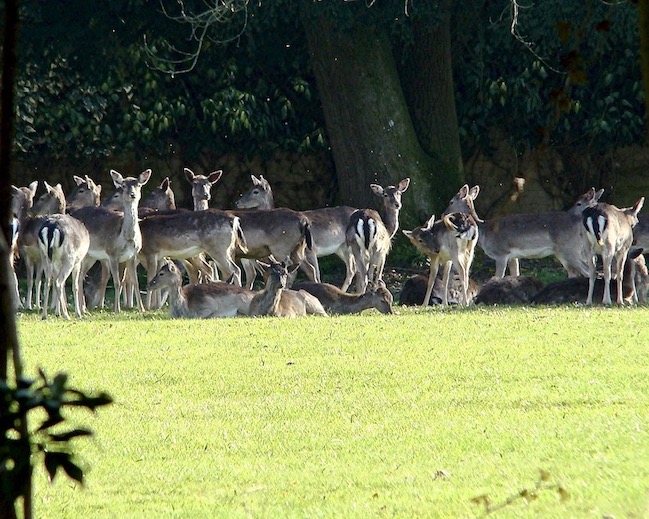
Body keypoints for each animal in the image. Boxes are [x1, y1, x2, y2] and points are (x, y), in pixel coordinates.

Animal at [71, 169, 151, 313]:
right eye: (123, 185)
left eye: (138, 185)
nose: (132, 194)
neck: (125, 239)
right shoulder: (112, 254)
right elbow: (117, 282)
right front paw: (117, 309)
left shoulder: (132, 256)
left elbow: (135, 281)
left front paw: (141, 309)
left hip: (90, 257)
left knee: (80, 277)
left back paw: (83, 308)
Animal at [444, 185, 604, 278]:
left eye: (451, 201)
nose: (443, 214)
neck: (484, 232)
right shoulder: (513, 256)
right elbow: (515, 275)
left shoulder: (501, 253)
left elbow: (497, 277)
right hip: (566, 253)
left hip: (570, 249)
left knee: (590, 271)